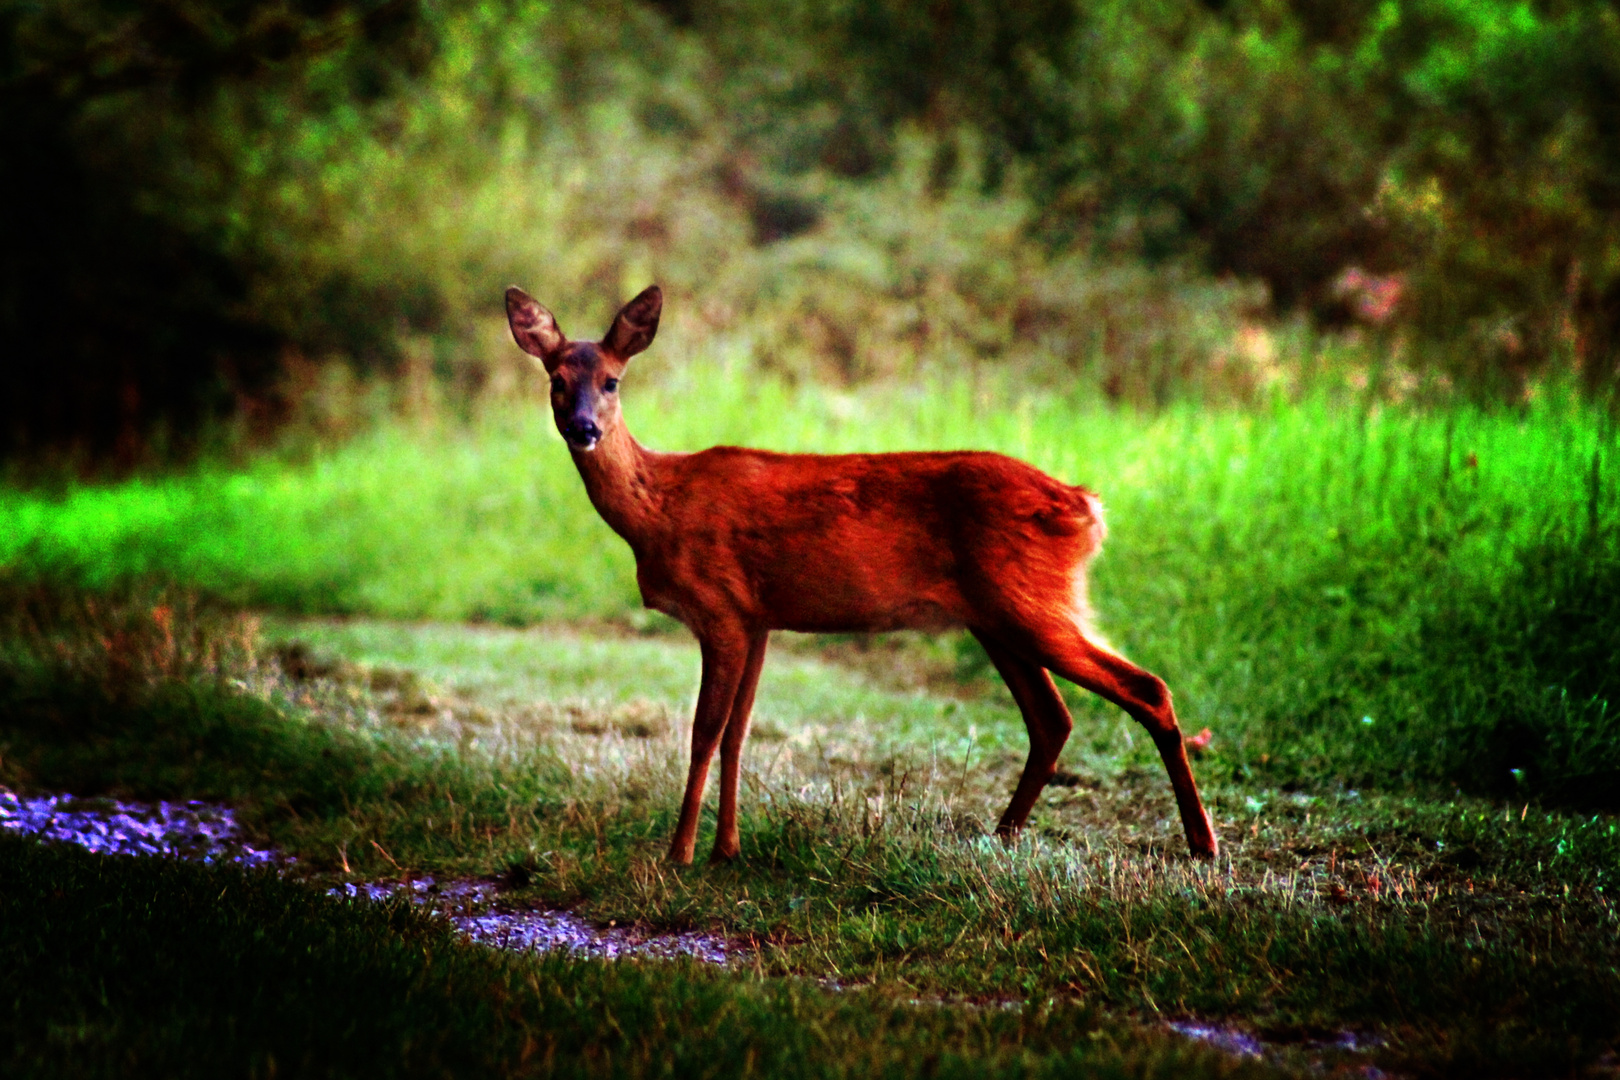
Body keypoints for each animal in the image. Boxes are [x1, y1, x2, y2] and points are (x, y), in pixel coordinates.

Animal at [505, 284, 1218, 861]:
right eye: (555, 380)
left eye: (613, 381)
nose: (584, 428)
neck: (659, 506)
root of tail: (1085, 506)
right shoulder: (758, 618)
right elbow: (738, 732)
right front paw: (726, 850)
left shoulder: (722, 608)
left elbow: (705, 732)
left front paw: (677, 854)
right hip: (998, 616)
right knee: (1052, 720)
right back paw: (1001, 836)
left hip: (1031, 602)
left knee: (1146, 687)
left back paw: (1201, 843)